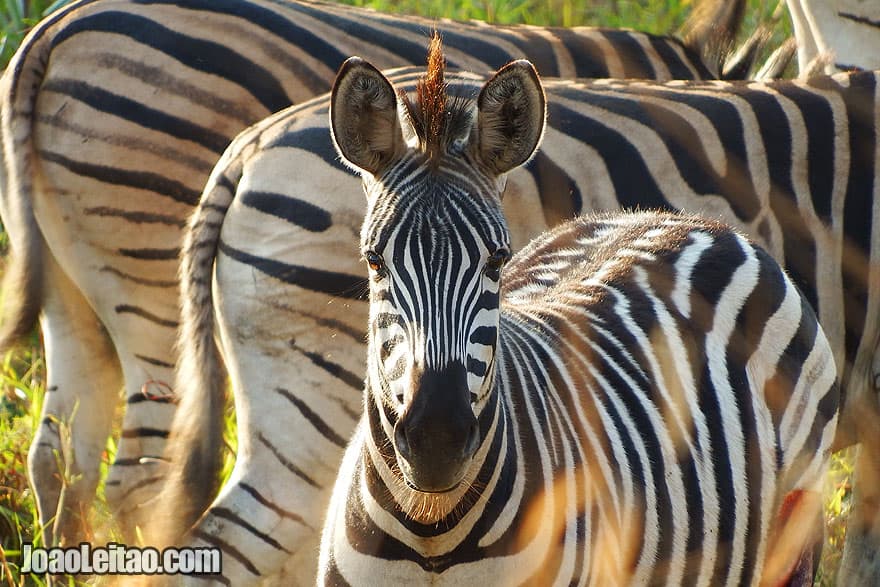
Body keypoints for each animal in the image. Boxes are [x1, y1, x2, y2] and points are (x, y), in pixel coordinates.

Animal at [163, 62, 880, 580]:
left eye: (496, 259)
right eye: (372, 260)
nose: (436, 438)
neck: (431, 531)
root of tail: (683, 219)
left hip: (790, 528)